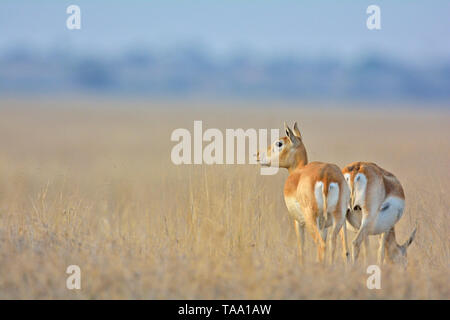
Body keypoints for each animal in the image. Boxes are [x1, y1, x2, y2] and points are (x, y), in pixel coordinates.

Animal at [256, 121, 352, 264]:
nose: (257, 154)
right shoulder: (324, 226)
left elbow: (301, 249)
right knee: (340, 248)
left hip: (311, 219)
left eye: (279, 143)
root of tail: (326, 176)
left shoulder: (298, 222)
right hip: (339, 218)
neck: (298, 172)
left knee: (321, 244)